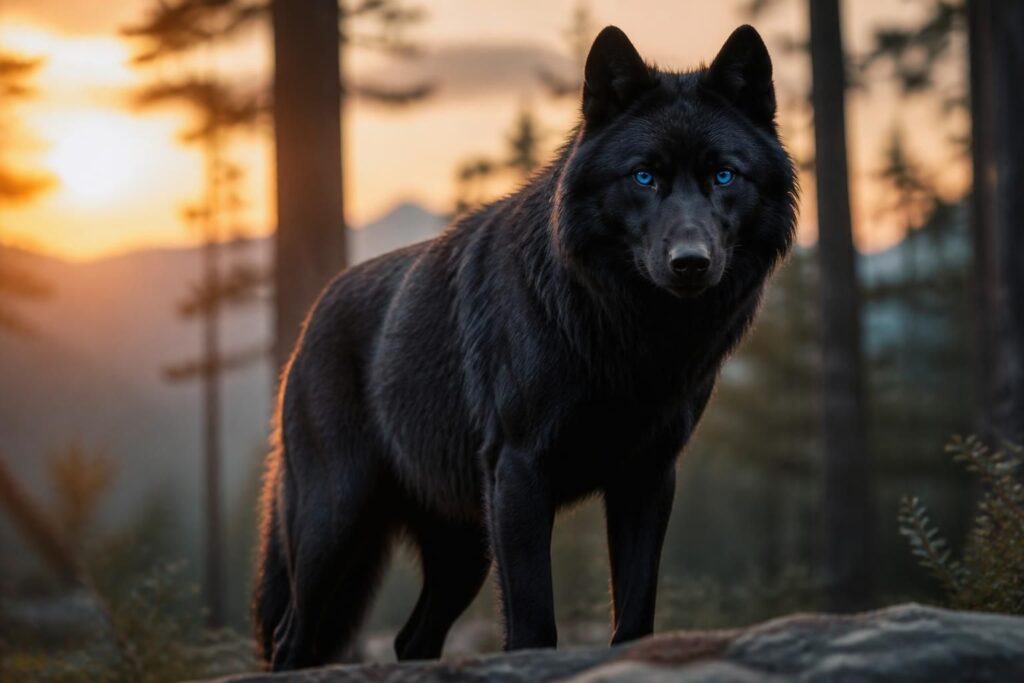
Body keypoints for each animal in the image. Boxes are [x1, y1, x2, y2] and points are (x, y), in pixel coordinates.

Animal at [253, 24, 797, 670]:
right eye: (644, 176)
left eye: (724, 175)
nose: (690, 263)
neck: (629, 336)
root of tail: (310, 320)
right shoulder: (520, 473)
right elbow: (535, 624)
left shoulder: (647, 476)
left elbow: (634, 617)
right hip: (336, 526)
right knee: (292, 638)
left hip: (461, 548)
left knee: (412, 640)